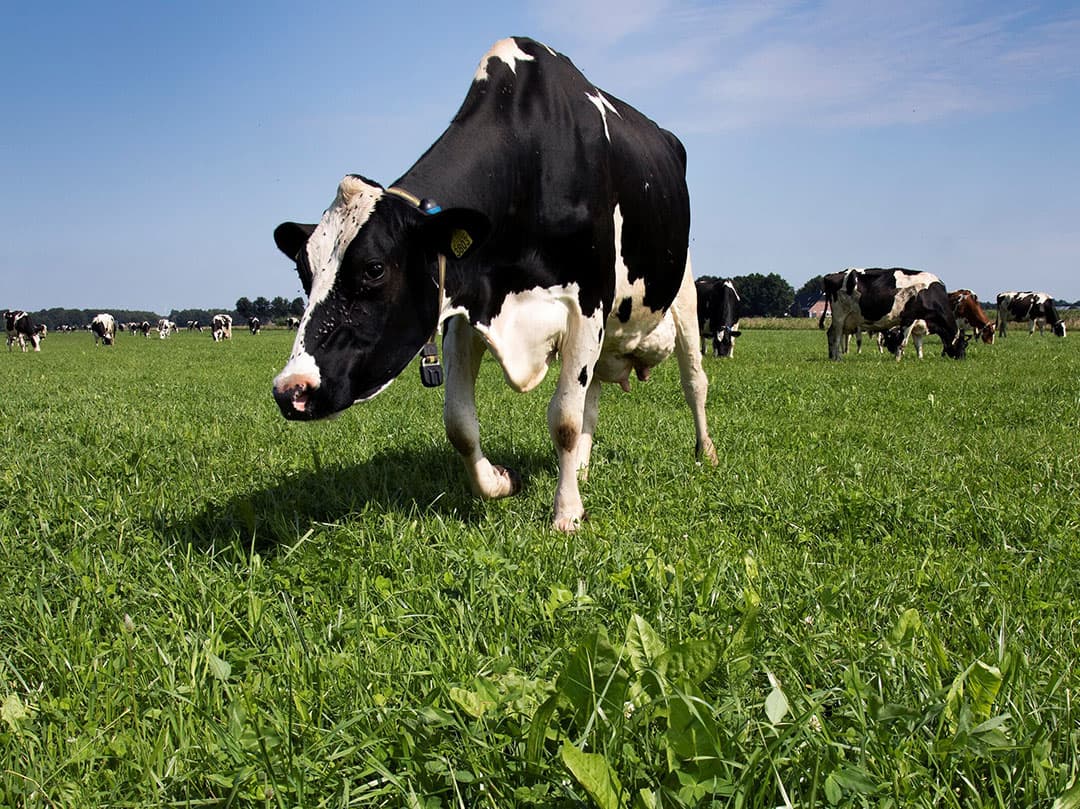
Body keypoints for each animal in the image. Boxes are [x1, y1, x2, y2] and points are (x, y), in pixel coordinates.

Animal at [271, 37, 716, 532]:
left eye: (373, 268)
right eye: (303, 271)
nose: (290, 390)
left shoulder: (587, 305)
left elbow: (563, 418)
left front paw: (566, 514)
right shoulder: (465, 309)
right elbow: (459, 424)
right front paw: (503, 482)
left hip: (685, 290)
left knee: (693, 380)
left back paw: (705, 454)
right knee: (594, 393)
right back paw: (582, 466)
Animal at [819, 268, 967, 361]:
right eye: (963, 345)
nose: (962, 358)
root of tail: (832, 275)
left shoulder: (917, 324)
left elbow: (918, 344)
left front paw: (920, 358)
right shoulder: (909, 318)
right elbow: (903, 341)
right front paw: (897, 359)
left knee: (830, 334)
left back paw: (831, 357)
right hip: (840, 316)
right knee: (837, 336)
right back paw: (838, 358)